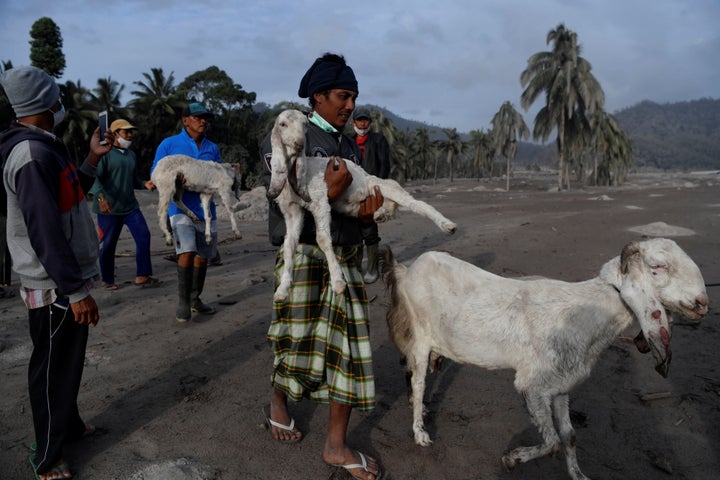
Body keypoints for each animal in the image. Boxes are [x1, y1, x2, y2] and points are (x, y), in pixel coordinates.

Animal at [264, 110, 456, 302]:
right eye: (282, 124)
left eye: (305, 125)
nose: (299, 144)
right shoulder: (292, 210)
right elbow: (289, 244)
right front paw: (282, 290)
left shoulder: (319, 201)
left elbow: (323, 239)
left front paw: (338, 282)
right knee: (392, 205)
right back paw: (381, 213)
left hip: (384, 186)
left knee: (416, 204)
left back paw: (447, 225)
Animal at [382, 240, 708, 480]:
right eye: (657, 266)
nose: (702, 304)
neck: (589, 312)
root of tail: (409, 270)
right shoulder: (532, 385)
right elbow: (551, 443)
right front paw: (511, 459)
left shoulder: (560, 387)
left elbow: (569, 436)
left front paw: (578, 475)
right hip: (420, 339)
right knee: (419, 382)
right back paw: (420, 433)